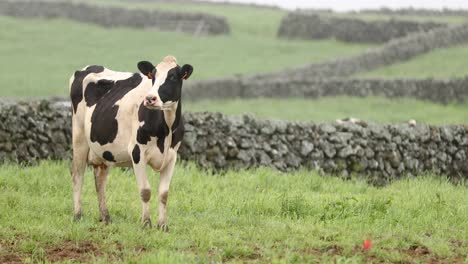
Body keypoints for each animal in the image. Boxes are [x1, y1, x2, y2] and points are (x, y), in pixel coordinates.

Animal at [68, 56, 193, 231]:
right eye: (153, 76)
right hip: (79, 137)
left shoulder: (172, 156)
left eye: (173, 77)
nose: (150, 99)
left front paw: (162, 226)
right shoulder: (137, 153)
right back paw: (78, 215)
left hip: (105, 150)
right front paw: (146, 223)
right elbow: (145, 191)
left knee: (100, 179)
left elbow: (164, 194)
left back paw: (105, 217)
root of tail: (88, 67)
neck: (166, 128)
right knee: (77, 174)